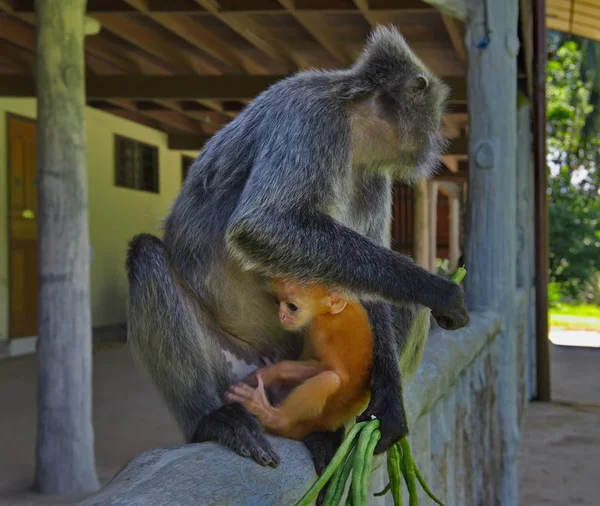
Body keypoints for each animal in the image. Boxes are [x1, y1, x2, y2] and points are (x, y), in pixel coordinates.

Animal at [225, 278, 376, 440]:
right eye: (278, 301)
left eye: (292, 307)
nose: (281, 316)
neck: (330, 313)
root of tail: (319, 424)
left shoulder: (319, 328)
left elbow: (337, 372)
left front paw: (270, 373)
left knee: (330, 379)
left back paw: (272, 417)